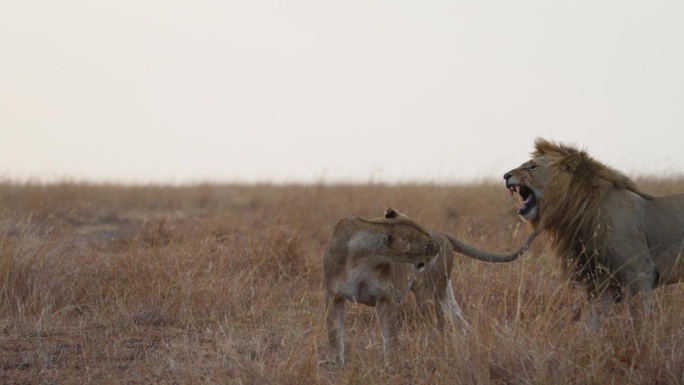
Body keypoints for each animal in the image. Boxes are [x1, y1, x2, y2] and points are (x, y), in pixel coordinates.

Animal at [324, 208, 536, 364]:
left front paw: (391, 365)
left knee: (440, 326)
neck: (363, 258)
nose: (437, 248)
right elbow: (335, 337)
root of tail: (443, 235)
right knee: (458, 319)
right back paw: (469, 343)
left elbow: (390, 337)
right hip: (444, 293)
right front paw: (336, 366)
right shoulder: (334, 298)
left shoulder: (386, 299)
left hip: (429, 296)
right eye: (424, 243)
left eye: (424, 230)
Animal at [502, 136, 684, 328]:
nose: (505, 176)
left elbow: (640, 320)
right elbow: (591, 320)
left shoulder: (640, 273)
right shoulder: (596, 279)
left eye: (532, 167)